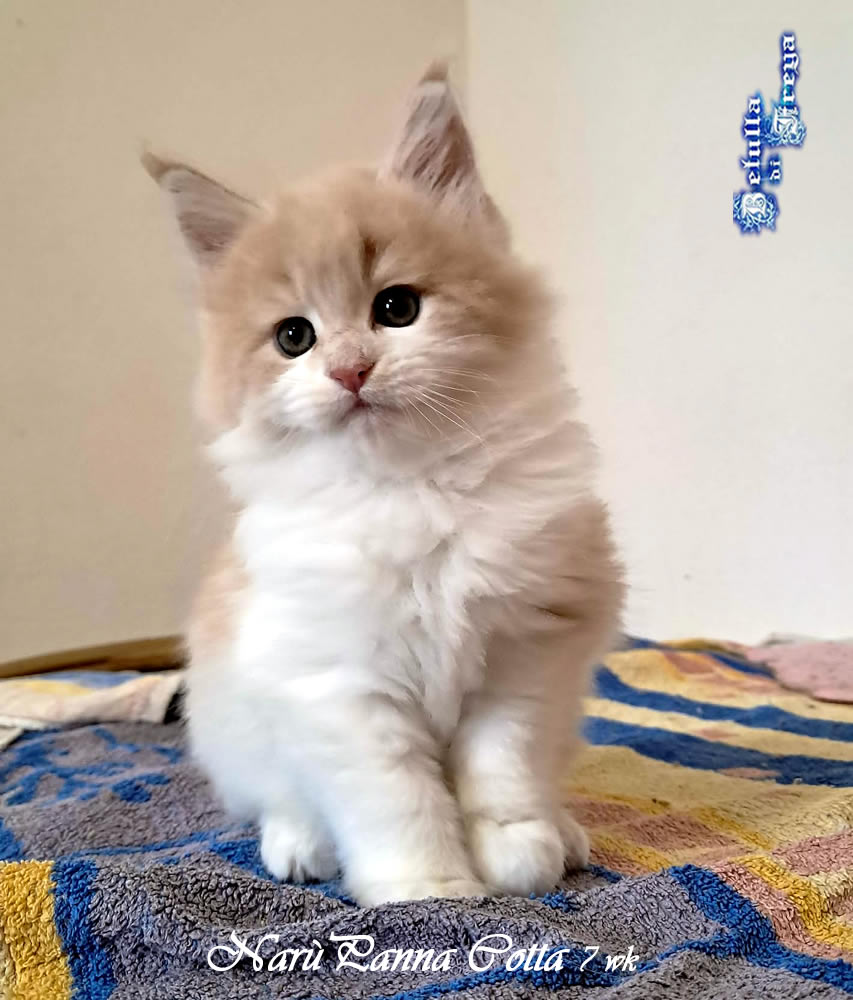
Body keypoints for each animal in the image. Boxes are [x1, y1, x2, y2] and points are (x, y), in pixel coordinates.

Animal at [145, 65, 623, 906]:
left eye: (395, 308)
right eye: (293, 338)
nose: (350, 370)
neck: (410, 487)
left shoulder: (524, 653)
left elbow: (502, 771)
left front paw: (517, 854)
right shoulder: (337, 685)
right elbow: (398, 799)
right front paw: (428, 892)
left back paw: (566, 834)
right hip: (234, 726)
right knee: (279, 798)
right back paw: (299, 846)